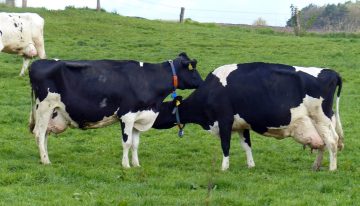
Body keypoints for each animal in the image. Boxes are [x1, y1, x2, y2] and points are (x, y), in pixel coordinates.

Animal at [28, 52, 202, 167]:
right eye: (193, 68)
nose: (202, 83)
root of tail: (38, 63)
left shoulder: (139, 117)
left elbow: (136, 144)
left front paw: (136, 164)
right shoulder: (127, 115)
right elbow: (127, 142)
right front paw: (126, 165)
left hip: (52, 111)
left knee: (44, 135)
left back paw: (43, 158)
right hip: (44, 107)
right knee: (39, 134)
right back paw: (46, 161)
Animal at [153, 62, 344, 171]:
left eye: (159, 109)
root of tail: (331, 72)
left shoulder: (224, 120)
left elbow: (225, 145)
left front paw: (224, 168)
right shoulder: (241, 125)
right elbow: (247, 146)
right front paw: (251, 165)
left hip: (321, 118)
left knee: (332, 141)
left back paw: (332, 169)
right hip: (321, 121)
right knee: (323, 143)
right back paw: (316, 166)